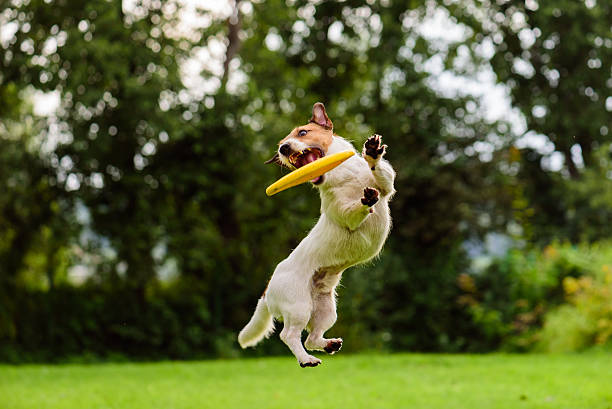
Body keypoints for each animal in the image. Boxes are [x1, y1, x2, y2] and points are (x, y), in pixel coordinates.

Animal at [237, 101, 394, 366]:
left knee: (312, 337)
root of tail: (268, 289)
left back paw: (328, 344)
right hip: (299, 307)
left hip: (325, 308)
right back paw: (306, 359)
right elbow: (353, 211)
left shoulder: (386, 187)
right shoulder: (345, 215)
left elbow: (381, 176)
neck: (342, 175)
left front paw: (373, 152)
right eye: (281, 144)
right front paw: (364, 201)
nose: (283, 148)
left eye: (302, 132)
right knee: (289, 335)